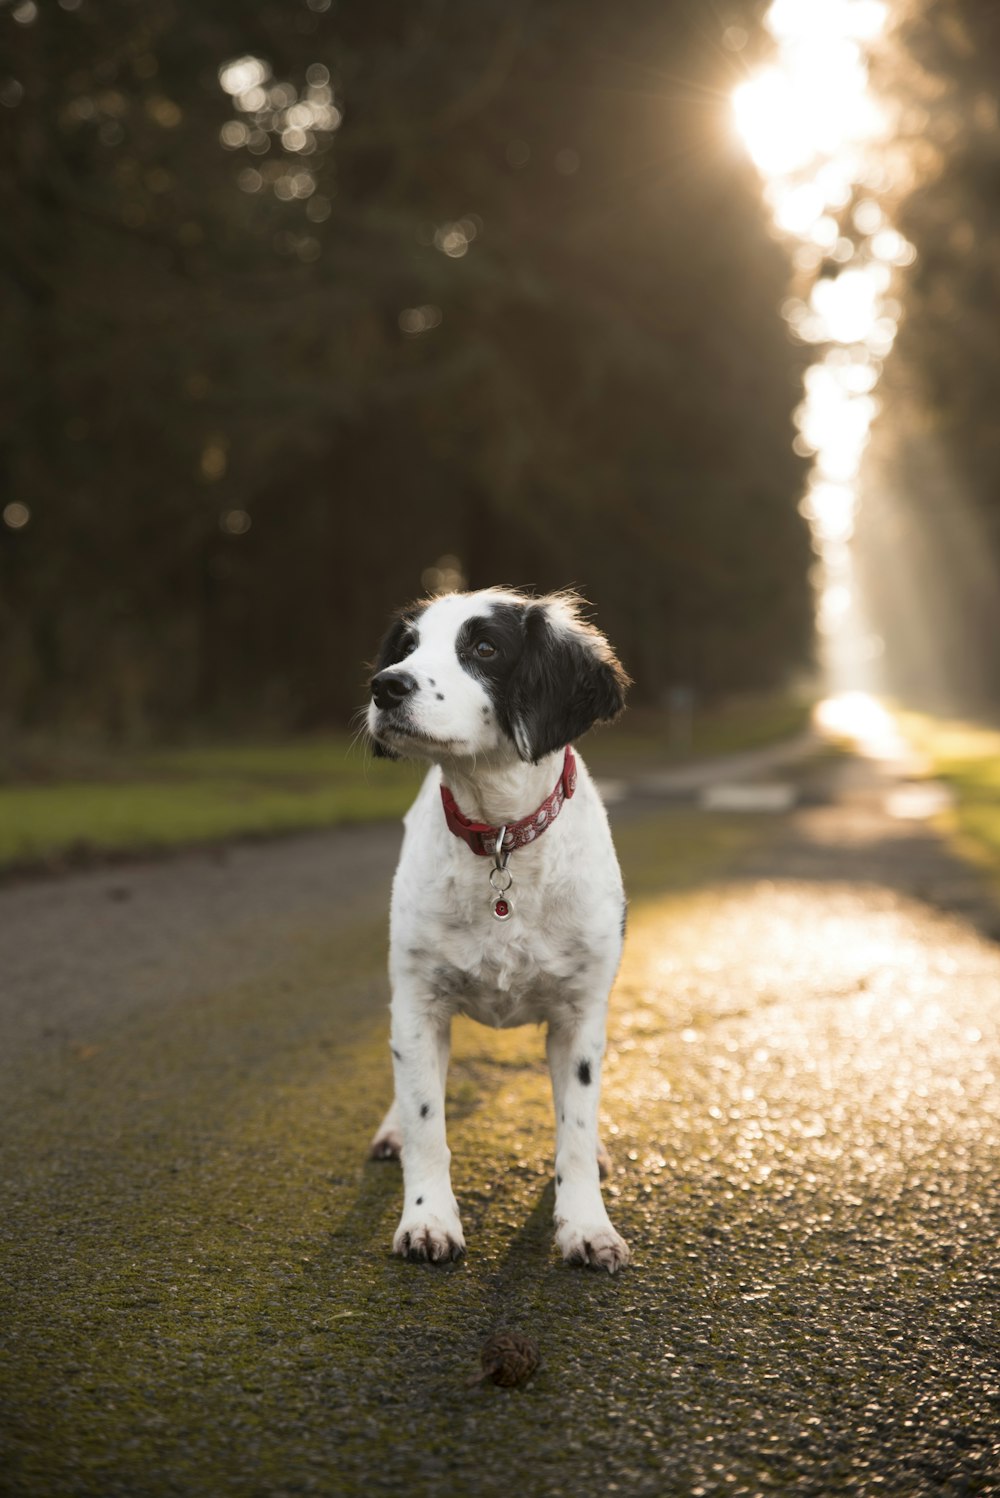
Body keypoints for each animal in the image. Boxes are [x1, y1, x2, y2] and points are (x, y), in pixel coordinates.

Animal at [366, 590, 631, 1270]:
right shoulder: (418, 1003)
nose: (386, 686)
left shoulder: (580, 1014)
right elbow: (427, 1120)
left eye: (484, 648)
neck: (501, 835)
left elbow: (574, 1129)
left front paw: (586, 1225)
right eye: (407, 646)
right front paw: (427, 1219)